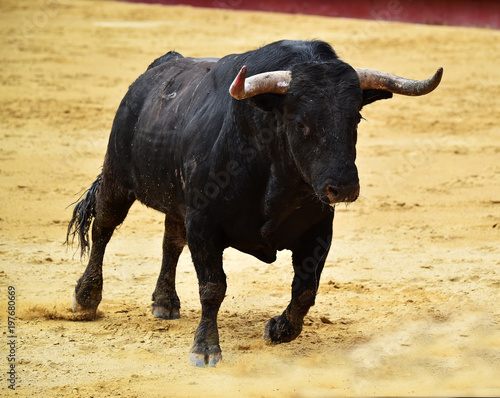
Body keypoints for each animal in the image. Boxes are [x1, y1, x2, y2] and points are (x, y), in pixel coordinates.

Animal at [66, 39, 442, 366]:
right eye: (300, 123)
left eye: (356, 119)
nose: (344, 187)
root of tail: (158, 68)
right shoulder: (204, 223)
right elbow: (212, 287)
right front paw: (205, 349)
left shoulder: (319, 229)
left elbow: (305, 289)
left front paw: (279, 329)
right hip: (118, 177)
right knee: (103, 227)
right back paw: (86, 299)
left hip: (177, 202)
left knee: (170, 241)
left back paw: (165, 302)